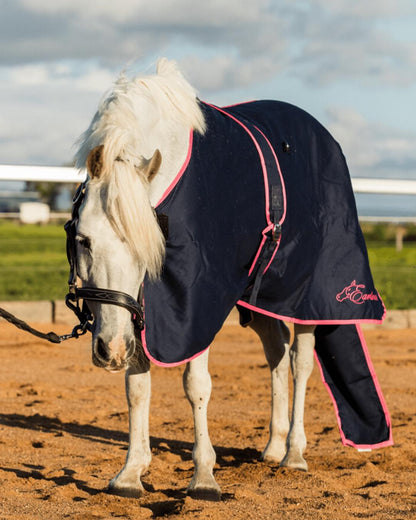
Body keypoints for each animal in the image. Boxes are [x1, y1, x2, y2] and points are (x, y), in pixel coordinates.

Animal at [73, 59, 392, 498]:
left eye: (147, 247)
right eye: (83, 239)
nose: (110, 351)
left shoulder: (198, 303)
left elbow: (196, 385)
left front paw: (204, 477)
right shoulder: (138, 307)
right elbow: (136, 387)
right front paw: (130, 472)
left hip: (311, 298)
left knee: (301, 362)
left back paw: (294, 453)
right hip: (260, 301)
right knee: (277, 353)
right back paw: (273, 447)